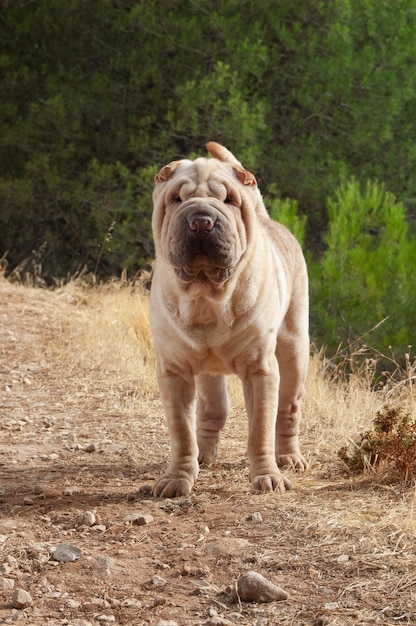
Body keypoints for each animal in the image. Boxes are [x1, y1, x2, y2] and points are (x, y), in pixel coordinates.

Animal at [150, 143, 308, 498]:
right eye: (176, 199)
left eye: (229, 200)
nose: (201, 221)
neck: (206, 296)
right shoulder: (174, 372)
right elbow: (181, 431)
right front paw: (177, 478)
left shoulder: (261, 369)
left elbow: (260, 429)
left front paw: (267, 476)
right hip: (207, 374)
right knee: (212, 411)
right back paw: (204, 455)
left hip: (294, 351)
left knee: (286, 412)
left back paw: (289, 458)